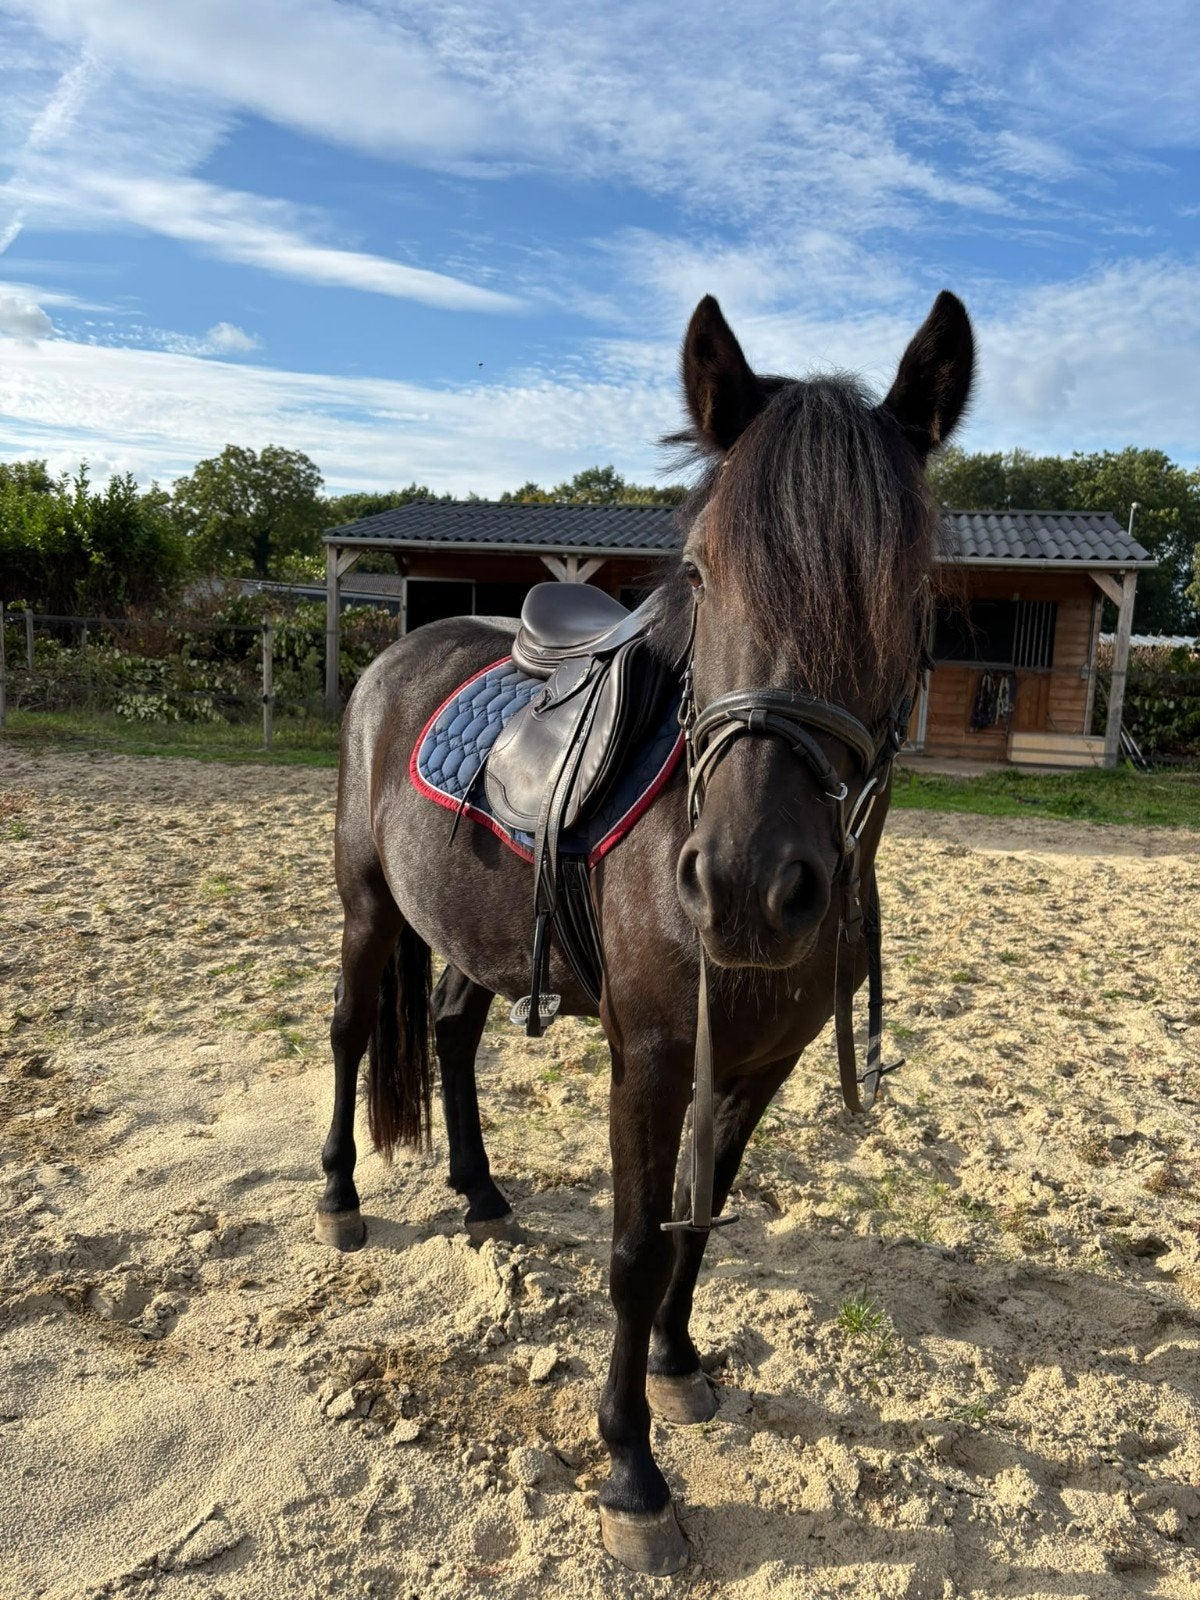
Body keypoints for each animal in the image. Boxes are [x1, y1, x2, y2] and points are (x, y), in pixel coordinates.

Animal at [317, 290, 975, 1574]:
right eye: (704, 571)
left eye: (911, 583)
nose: (748, 886)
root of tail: (397, 651)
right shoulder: (655, 1054)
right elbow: (632, 1249)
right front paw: (631, 1468)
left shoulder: (760, 1062)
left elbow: (699, 1217)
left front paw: (678, 1365)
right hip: (369, 908)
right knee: (348, 1032)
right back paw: (338, 1200)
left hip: (477, 937)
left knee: (452, 1034)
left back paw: (481, 1194)